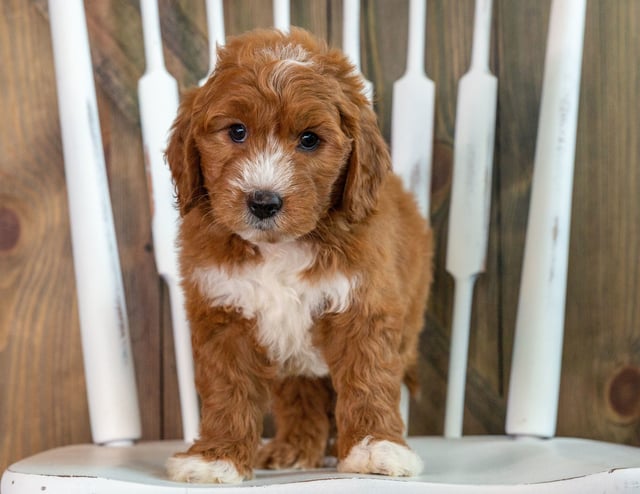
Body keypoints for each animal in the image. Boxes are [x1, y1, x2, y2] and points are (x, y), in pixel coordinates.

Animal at [165, 27, 436, 482]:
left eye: (309, 140)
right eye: (237, 132)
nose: (263, 201)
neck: (282, 247)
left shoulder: (364, 303)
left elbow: (369, 377)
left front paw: (376, 448)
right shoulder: (224, 311)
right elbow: (227, 388)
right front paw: (216, 457)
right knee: (300, 389)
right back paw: (295, 449)